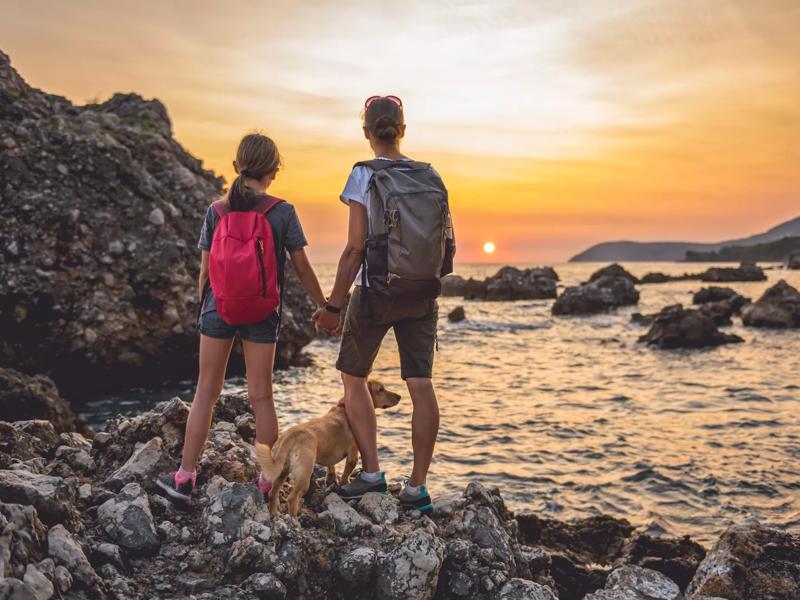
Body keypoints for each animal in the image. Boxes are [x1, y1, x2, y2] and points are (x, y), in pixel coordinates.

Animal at [256, 380, 400, 516]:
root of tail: (290, 437)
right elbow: (345, 476)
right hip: (304, 476)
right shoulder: (353, 456)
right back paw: (294, 521)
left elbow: (331, 467)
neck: (344, 408)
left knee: (273, 493)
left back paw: (275, 513)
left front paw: (331, 479)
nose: (399, 396)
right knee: (292, 498)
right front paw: (343, 485)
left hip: (281, 472)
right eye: (381, 389)